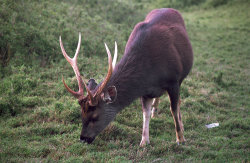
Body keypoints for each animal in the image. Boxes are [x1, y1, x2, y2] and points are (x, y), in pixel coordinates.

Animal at [59, 8, 193, 146]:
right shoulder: (145, 90)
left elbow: (174, 109)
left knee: (177, 103)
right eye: (81, 115)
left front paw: (181, 139)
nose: (83, 138)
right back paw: (155, 111)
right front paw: (144, 142)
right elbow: (145, 113)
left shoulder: (173, 81)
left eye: (95, 117)